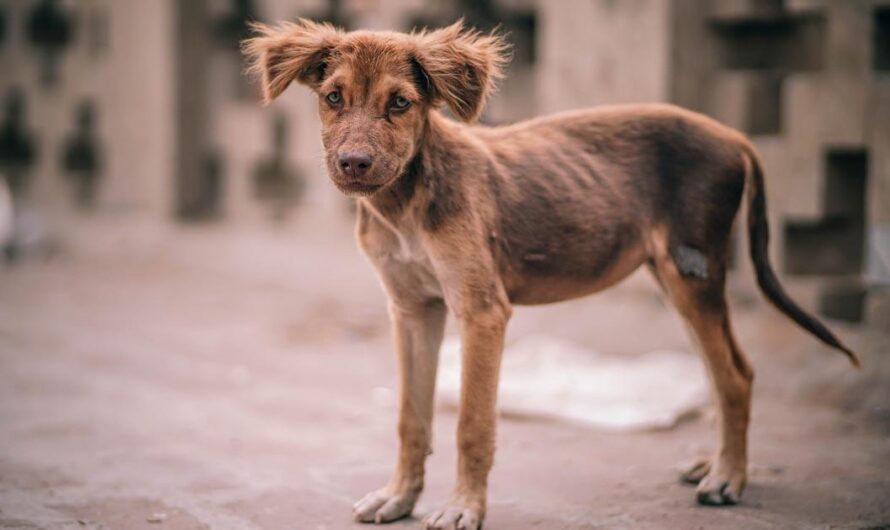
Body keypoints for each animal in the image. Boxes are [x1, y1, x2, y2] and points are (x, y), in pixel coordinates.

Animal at [241, 18, 852, 524]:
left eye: (400, 103)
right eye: (333, 97)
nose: (354, 164)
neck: (406, 203)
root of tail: (735, 136)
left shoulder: (482, 311)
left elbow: (471, 423)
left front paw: (463, 507)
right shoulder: (412, 310)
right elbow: (410, 417)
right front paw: (399, 497)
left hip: (693, 270)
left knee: (735, 375)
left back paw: (728, 478)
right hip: (674, 276)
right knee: (722, 368)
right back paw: (714, 464)